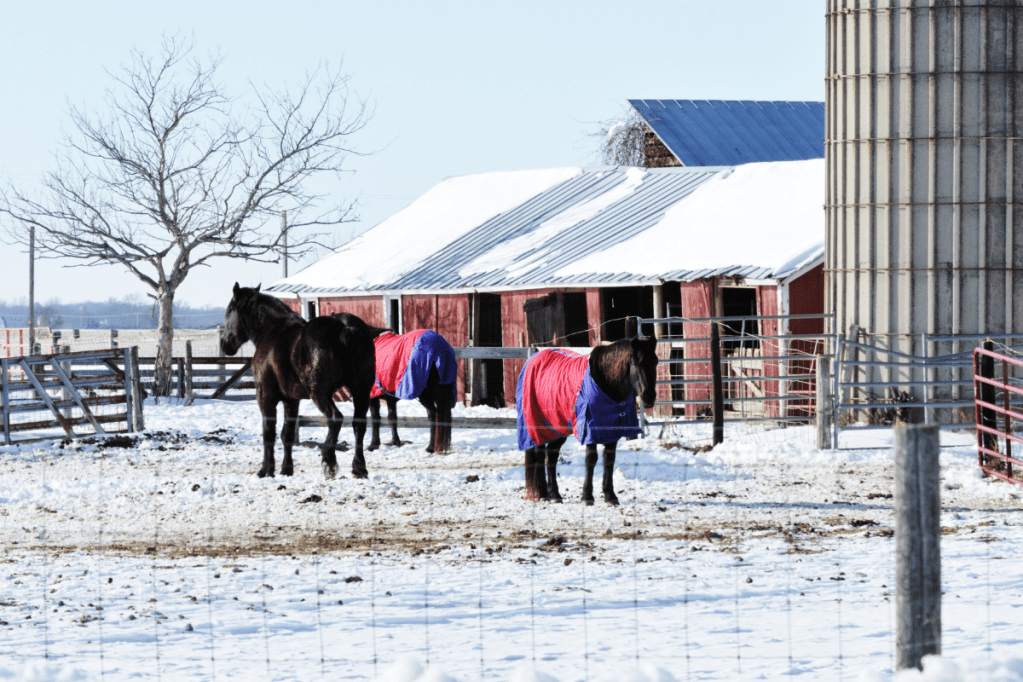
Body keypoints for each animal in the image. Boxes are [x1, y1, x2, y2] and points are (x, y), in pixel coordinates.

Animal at [219, 284, 376, 480]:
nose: (224, 344)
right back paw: (359, 468)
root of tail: (344, 327)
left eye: (229, 310)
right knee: (359, 424)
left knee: (335, 418)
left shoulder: (265, 396)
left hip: (320, 394)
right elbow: (287, 434)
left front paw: (266, 470)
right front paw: (286, 469)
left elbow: (268, 433)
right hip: (361, 390)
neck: (272, 331)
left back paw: (329, 461)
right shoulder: (291, 400)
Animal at [515, 336, 658, 505]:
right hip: (539, 426)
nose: (649, 397)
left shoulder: (612, 430)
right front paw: (587, 497)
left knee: (552, 455)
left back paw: (555, 495)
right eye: (637, 363)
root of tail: (531, 360)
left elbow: (609, 460)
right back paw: (543, 493)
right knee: (540, 454)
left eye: (656, 362)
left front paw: (610, 496)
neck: (606, 384)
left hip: (560, 427)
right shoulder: (590, 429)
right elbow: (591, 459)